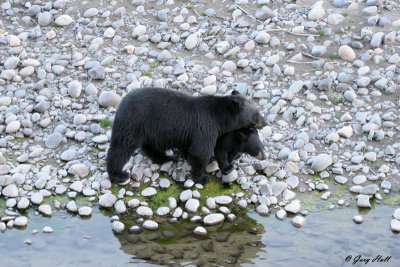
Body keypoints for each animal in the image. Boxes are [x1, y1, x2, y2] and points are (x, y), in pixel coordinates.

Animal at [106, 87, 268, 184]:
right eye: (257, 115)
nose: (266, 122)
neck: (219, 117)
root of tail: (121, 103)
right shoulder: (206, 126)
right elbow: (200, 151)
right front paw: (201, 177)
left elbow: (188, 147)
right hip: (133, 123)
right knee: (121, 148)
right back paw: (118, 174)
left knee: (150, 147)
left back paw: (166, 157)